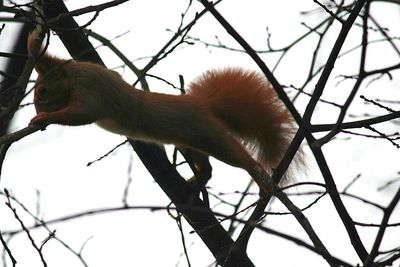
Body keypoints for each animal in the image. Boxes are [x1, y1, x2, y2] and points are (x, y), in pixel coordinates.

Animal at [28, 30, 304, 191]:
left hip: (211, 136)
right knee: (207, 168)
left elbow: (81, 114)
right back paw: (197, 181)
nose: (38, 106)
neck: (73, 77)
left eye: (42, 91)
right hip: (190, 143)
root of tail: (200, 104)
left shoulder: (92, 91)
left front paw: (44, 117)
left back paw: (260, 178)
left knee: (239, 157)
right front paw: (36, 37)